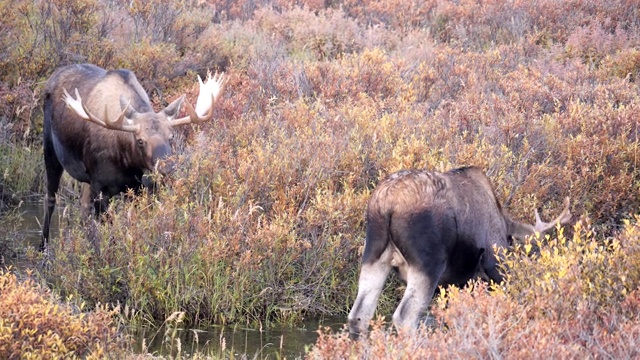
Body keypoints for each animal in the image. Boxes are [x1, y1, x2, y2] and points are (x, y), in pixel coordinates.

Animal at [40, 63, 225, 249]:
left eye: (171, 136)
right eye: (140, 140)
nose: (166, 167)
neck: (126, 162)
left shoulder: (137, 189)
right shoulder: (100, 186)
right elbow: (109, 229)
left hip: (86, 180)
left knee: (83, 207)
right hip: (50, 151)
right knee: (50, 200)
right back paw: (43, 248)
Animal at [348, 167, 572, 336]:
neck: (504, 221)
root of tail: (388, 205)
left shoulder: (453, 283)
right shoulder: (494, 259)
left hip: (374, 254)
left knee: (358, 315)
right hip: (428, 263)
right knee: (404, 318)